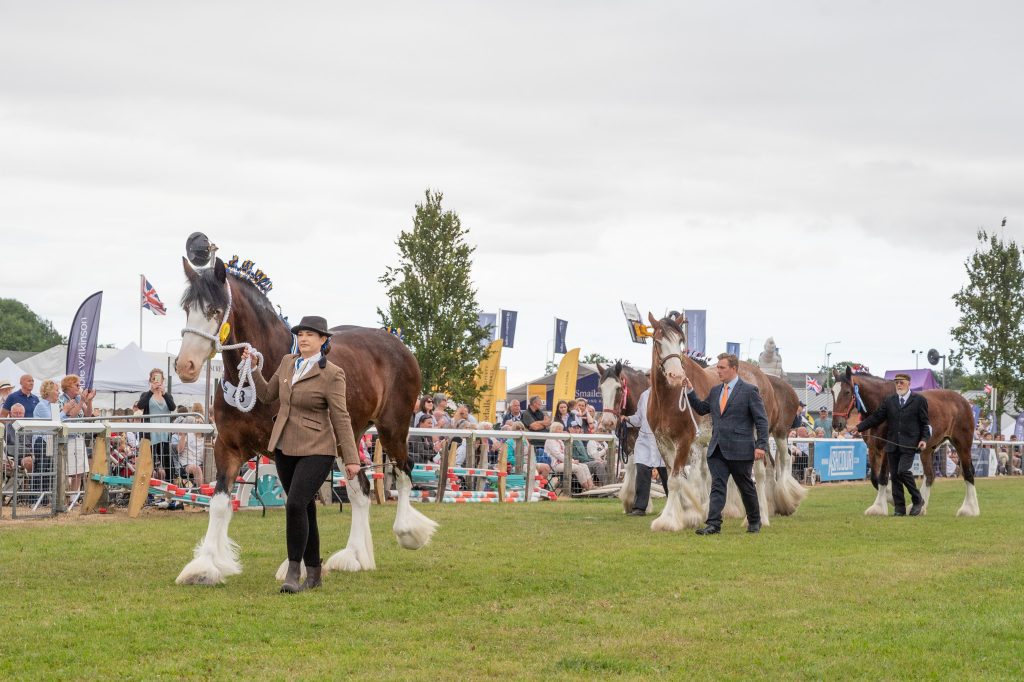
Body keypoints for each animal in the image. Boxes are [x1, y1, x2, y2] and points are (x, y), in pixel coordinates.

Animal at [175, 256, 436, 585]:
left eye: (214, 310)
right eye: (187, 309)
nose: (185, 366)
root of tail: (398, 342)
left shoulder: (287, 451)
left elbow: (297, 504)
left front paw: (293, 567)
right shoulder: (228, 447)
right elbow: (221, 504)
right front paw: (205, 566)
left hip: (393, 428)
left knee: (403, 472)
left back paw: (407, 532)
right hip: (346, 439)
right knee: (360, 491)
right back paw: (354, 557)